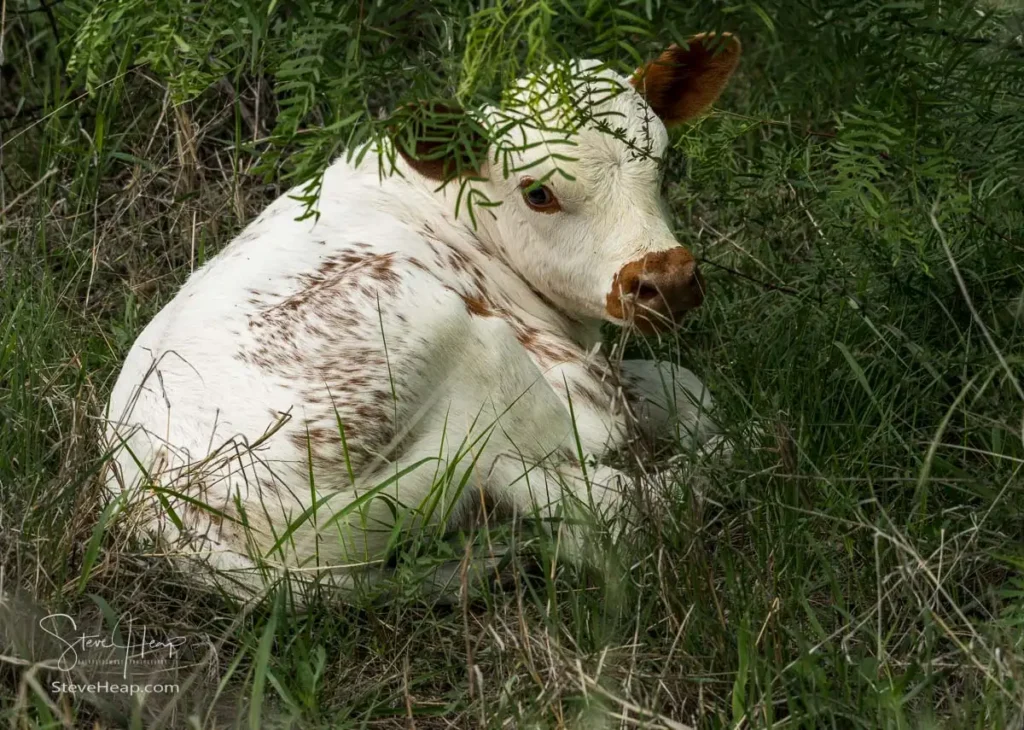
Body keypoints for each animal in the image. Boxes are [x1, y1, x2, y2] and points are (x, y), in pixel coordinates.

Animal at [103, 33, 741, 600]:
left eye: (663, 162)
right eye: (538, 192)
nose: (666, 279)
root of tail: (166, 506)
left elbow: (689, 388)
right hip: (453, 336)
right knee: (603, 503)